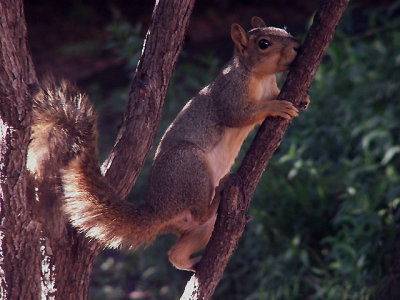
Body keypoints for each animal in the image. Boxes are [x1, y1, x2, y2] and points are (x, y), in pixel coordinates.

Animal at [26, 17, 306, 274]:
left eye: (284, 29)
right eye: (264, 44)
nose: (297, 46)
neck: (260, 77)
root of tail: (159, 210)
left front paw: (303, 100)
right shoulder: (229, 94)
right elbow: (237, 114)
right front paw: (276, 107)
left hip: (200, 228)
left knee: (176, 251)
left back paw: (192, 264)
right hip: (188, 165)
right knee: (200, 212)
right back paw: (219, 192)